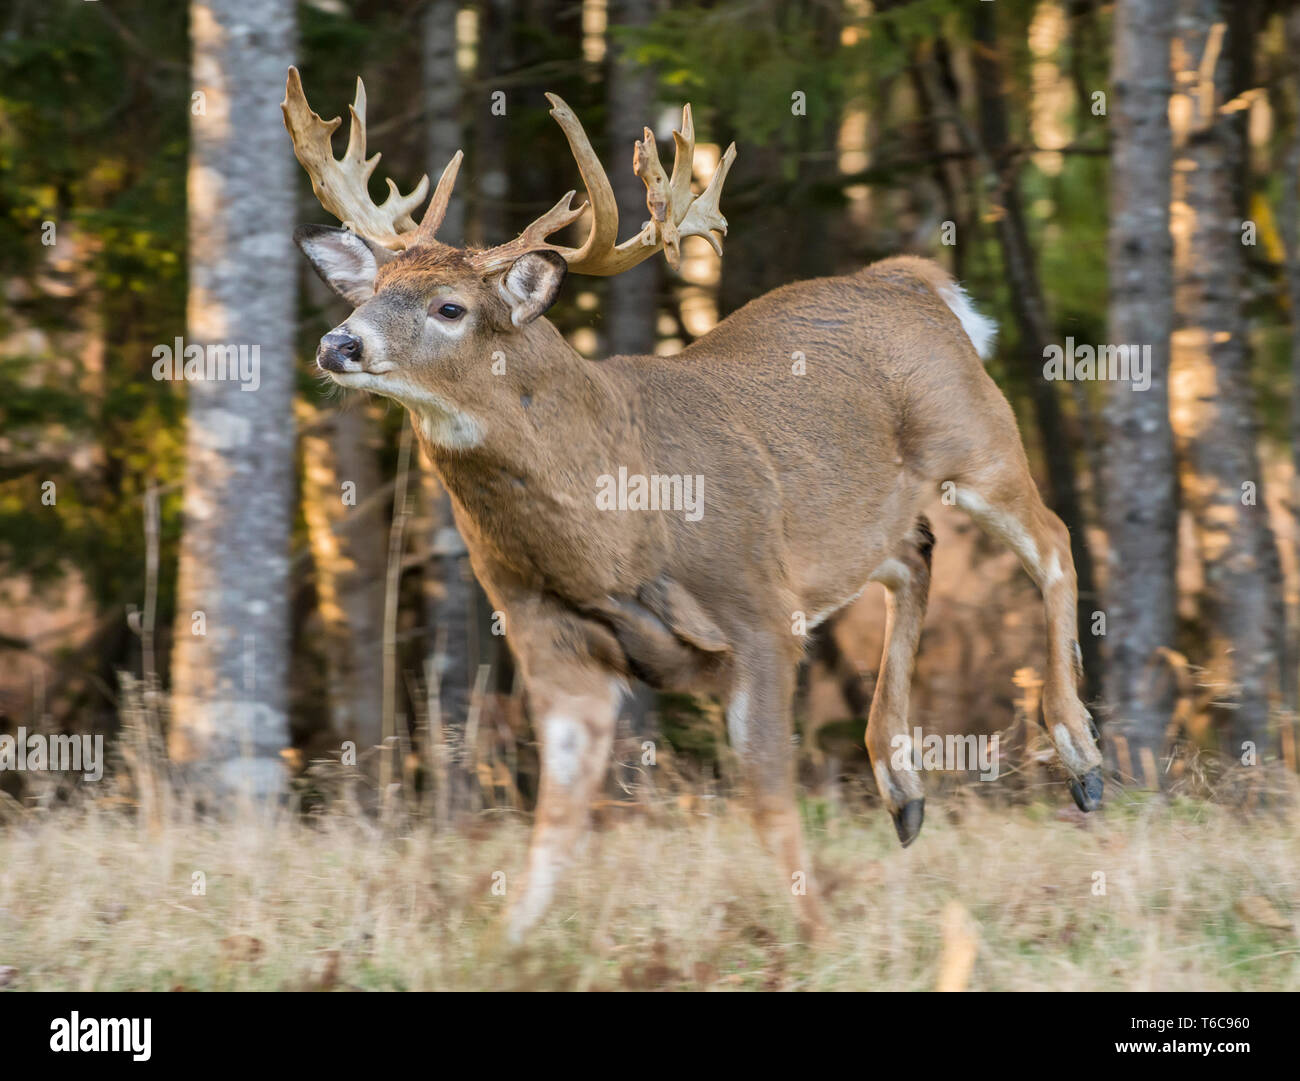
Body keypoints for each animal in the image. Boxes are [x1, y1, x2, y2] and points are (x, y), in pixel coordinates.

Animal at [279, 67, 1102, 940]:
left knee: (1052, 538)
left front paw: (817, 933)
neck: (614, 527)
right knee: (914, 558)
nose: (338, 343)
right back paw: (903, 790)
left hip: (975, 438)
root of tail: (910, 278)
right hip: (862, 519)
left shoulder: (758, 605)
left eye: (449, 307)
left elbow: (768, 795)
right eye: (377, 288)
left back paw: (1081, 760)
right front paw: (507, 941)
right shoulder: (545, 630)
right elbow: (555, 819)